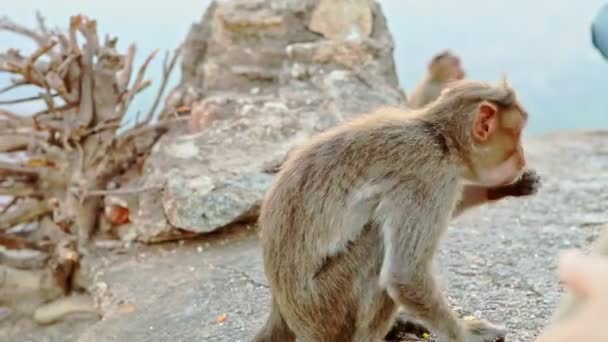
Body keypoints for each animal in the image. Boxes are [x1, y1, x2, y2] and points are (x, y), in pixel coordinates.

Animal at [252, 78, 536, 342]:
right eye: (517, 135)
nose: (522, 156)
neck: (440, 140)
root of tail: (282, 310)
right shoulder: (428, 177)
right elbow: (405, 273)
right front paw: (465, 334)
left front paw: (501, 189)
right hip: (324, 307)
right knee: (378, 241)